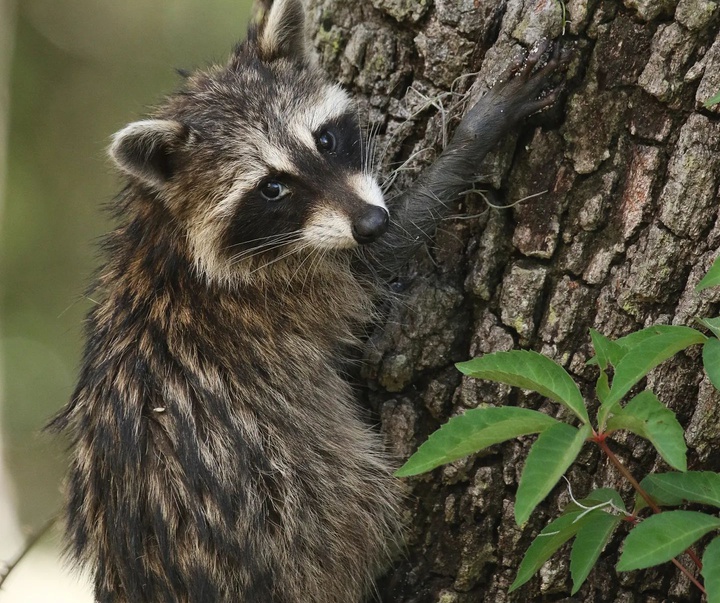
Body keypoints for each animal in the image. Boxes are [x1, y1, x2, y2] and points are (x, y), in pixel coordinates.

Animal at [49, 1, 568, 603]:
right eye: (272, 188)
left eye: (325, 141)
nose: (370, 222)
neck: (163, 226)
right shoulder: (283, 290)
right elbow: (386, 255)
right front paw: (476, 132)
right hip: (305, 511)